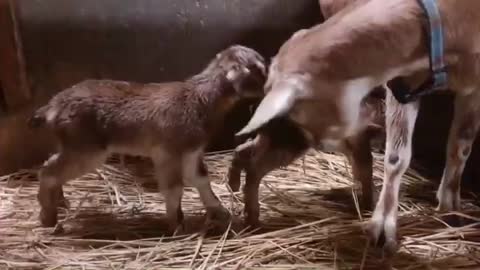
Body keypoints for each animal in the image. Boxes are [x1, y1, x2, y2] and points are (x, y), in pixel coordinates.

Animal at [28, 44, 266, 232]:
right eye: (259, 70)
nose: (268, 90)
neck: (199, 98)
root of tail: (52, 107)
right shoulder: (167, 152)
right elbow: (174, 188)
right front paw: (176, 225)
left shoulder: (191, 151)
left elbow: (199, 178)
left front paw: (219, 211)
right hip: (87, 149)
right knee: (48, 171)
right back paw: (48, 217)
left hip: (73, 145)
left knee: (50, 163)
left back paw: (60, 203)